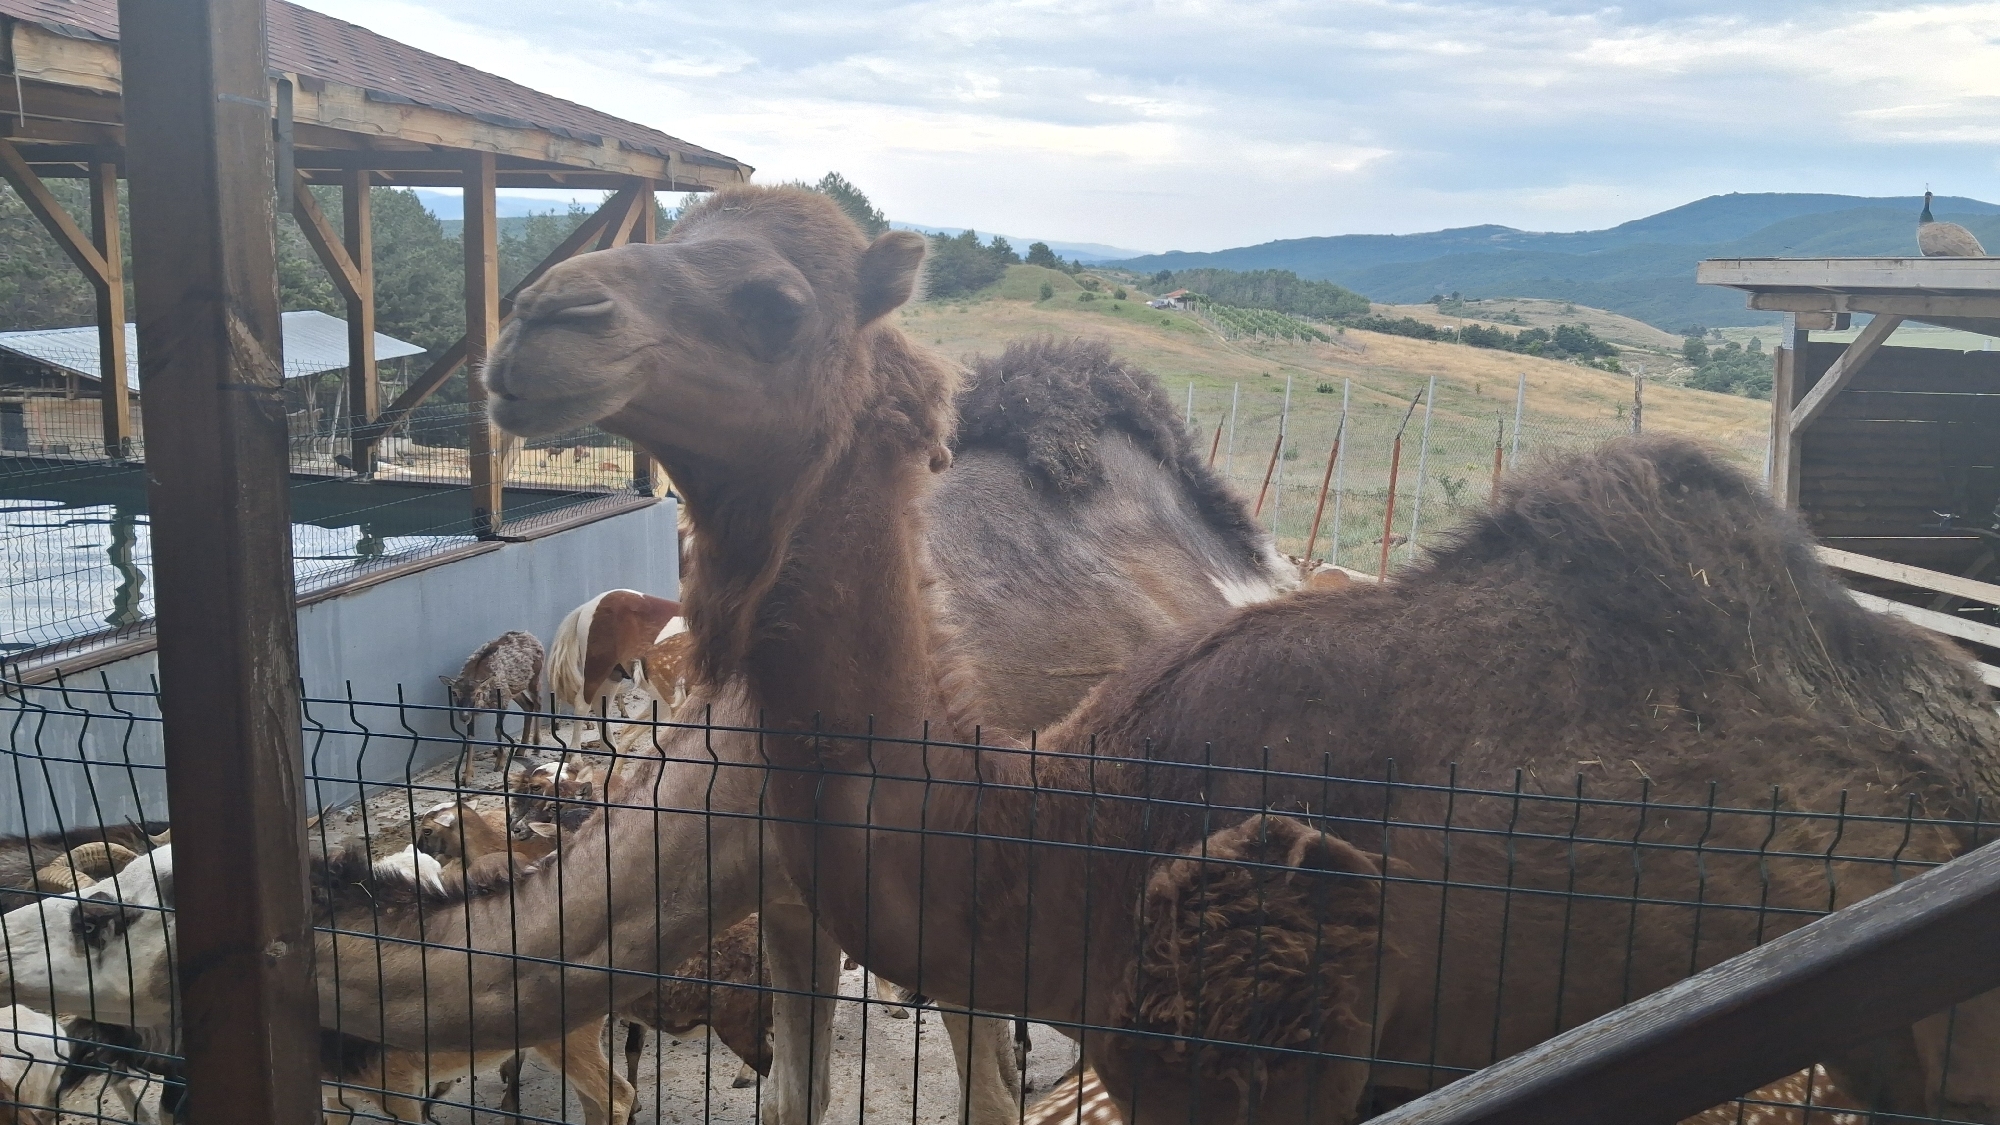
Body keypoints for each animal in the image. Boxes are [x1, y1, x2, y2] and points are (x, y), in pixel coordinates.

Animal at [439, 631, 546, 784]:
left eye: (478, 694)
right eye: (454, 692)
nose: (463, 717)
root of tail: (531, 635)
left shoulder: (502, 701)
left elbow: (498, 729)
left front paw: (500, 763)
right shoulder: (474, 712)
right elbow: (471, 736)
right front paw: (467, 775)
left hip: (535, 677)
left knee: (538, 702)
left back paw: (536, 745)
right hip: (514, 688)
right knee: (528, 705)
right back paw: (520, 751)